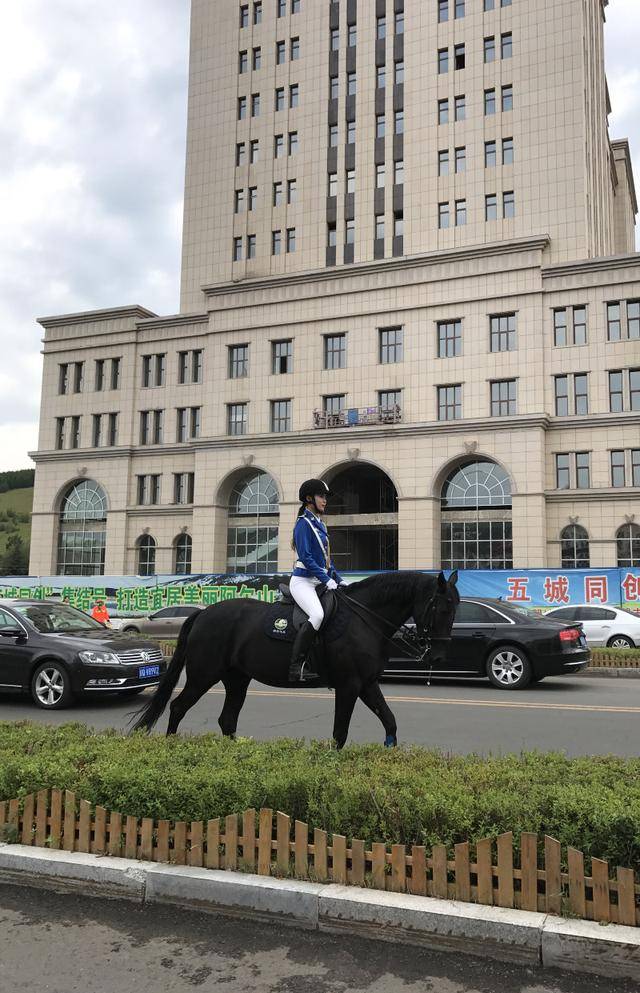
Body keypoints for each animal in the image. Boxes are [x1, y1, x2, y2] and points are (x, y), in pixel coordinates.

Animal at [131, 568, 460, 748]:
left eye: (456, 607)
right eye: (441, 608)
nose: (439, 657)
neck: (365, 618)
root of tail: (202, 613)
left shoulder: (366, 683)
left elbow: (390, 722)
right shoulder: (349, 685)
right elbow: (339, 733)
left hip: (237, 679)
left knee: (227, 720)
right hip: (203, 675)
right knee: (178, 707)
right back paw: (171, 747)